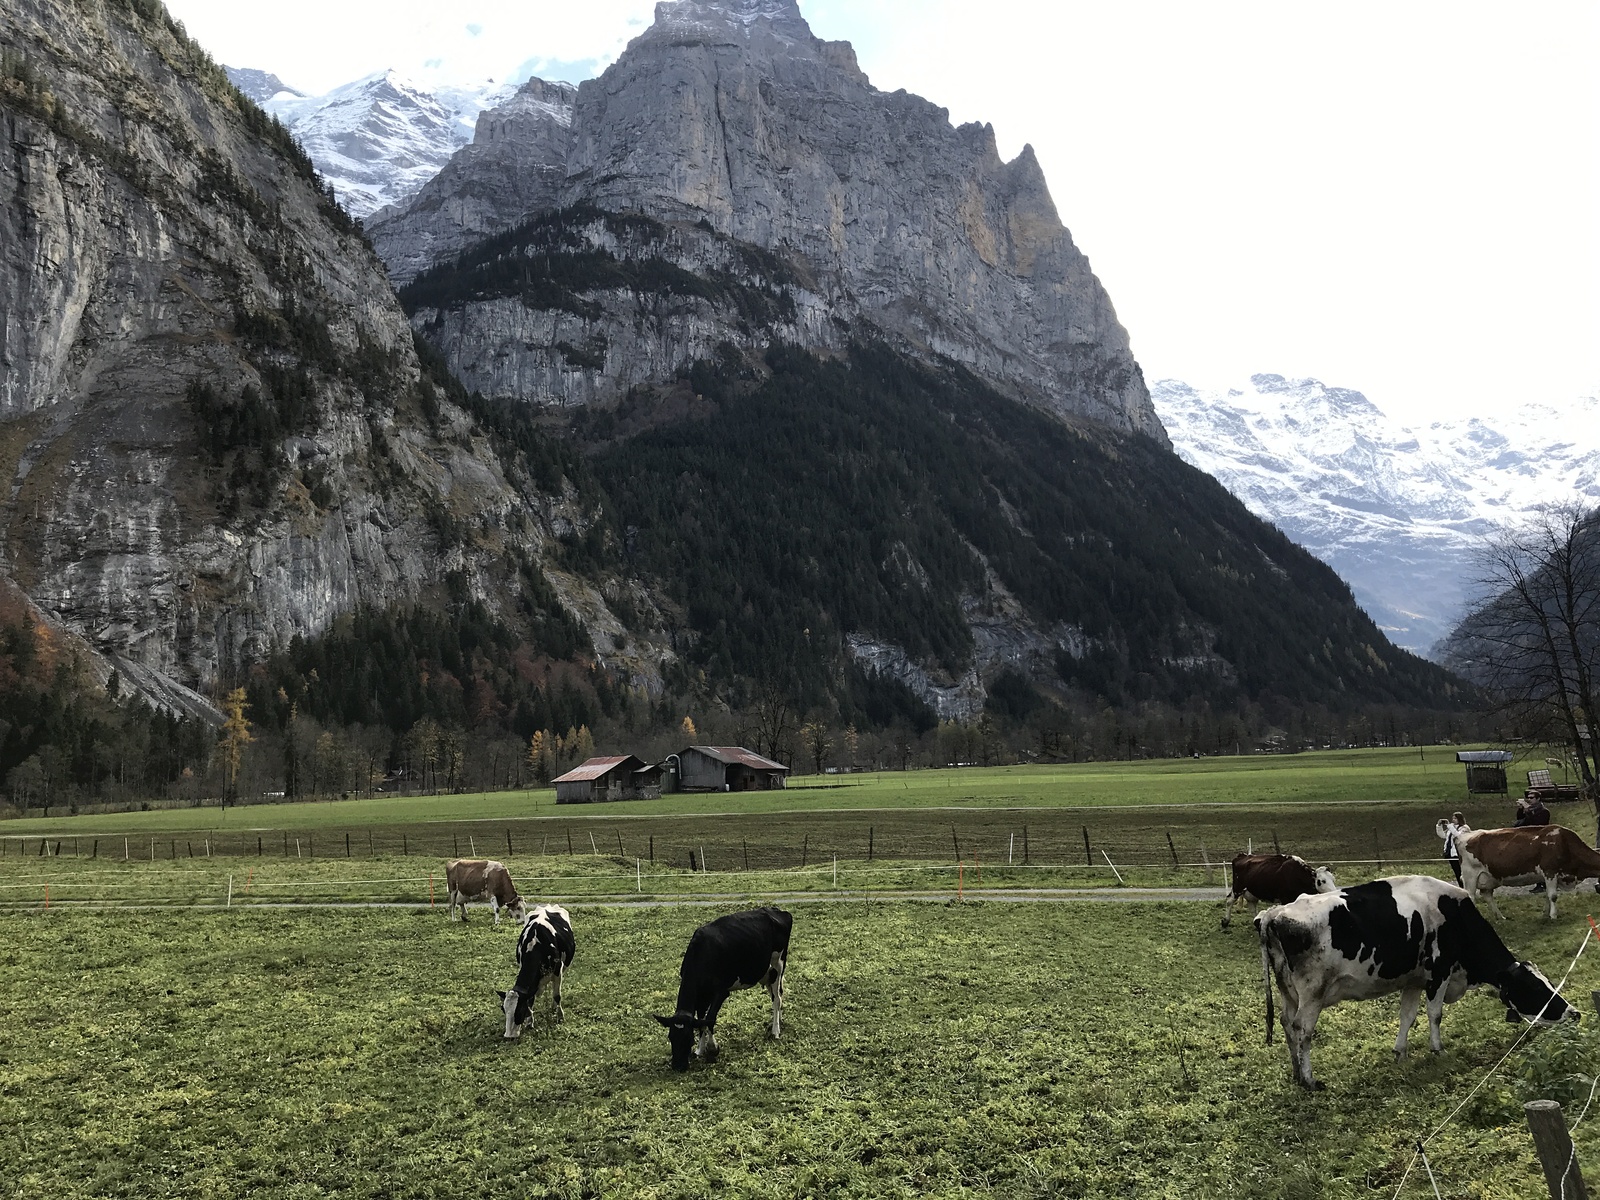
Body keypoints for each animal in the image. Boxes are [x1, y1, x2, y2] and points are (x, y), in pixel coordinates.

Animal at [499, 908, 582, 1036]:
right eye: (503, 1009)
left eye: (519, 1010)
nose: (509, 1036)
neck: (535, 944)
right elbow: (530, 1000)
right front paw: (529, 1023)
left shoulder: (558, 971)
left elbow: (557, 996)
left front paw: (560, 1017)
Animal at [656, 908, 793, 1068]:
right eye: (671, 1037)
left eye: (688, 1039)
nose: (678, 1067)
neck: (701, 954)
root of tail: (776, 910)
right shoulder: (702, 996)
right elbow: (701, 1020)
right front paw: (700, 1049)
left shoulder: (721, 992)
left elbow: (710, 1018)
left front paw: (712, 1048)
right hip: (767, 972)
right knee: (777, 996)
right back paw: (778, 1021)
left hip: (778, 963)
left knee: (776, 998)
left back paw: (775, 1031)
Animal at [1248, 876, 1574, 1094]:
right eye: (1537, 989)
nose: (1575, 1013)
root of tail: (1273, 914)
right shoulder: (1440, 971)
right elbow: (1435, 1014)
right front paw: (1437, 1049)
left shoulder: (1415, 980)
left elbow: (1407, 1015)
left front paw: (1400, 1053)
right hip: (1312, 993)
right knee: (1302, 1029)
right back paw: (1309, 1079)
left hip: (1288, 991)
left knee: (1286, 1023)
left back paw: (1295, 1073)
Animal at [1446, 825, 1600, 921]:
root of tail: (1461, 835)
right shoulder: (1549, 870)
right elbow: (1553, 896)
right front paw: (1554, 916)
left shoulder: (1552, 875)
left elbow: (1548, 895)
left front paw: (1546, 914)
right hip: (1470, 876)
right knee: (1471, 897)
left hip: (1488, 877)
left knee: (1487, 895)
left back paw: (1501, 917)